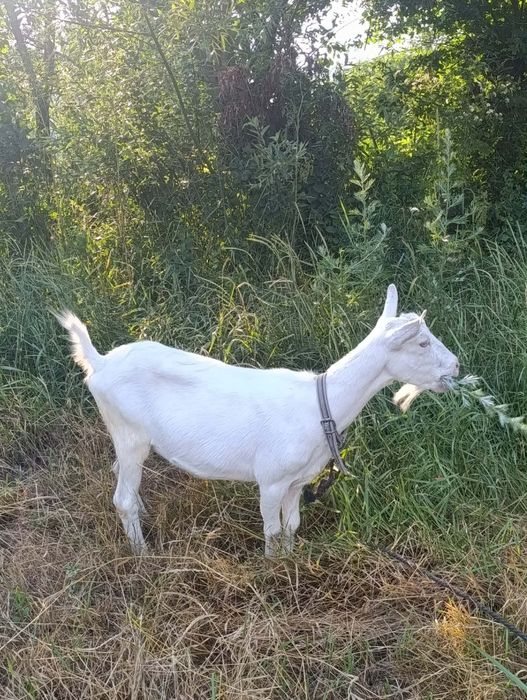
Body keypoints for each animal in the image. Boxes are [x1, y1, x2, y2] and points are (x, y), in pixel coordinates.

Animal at [56, 285, 459, 556]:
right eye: (422, 343)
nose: (455, 365)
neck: (319, 406)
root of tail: (99, 363)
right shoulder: (271, 479)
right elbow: (272, 529)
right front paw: (272, 568)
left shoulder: (298, 480)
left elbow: (292, 525)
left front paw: (291, 559)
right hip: (130, 435)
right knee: (122, 498)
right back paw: (142, 553)